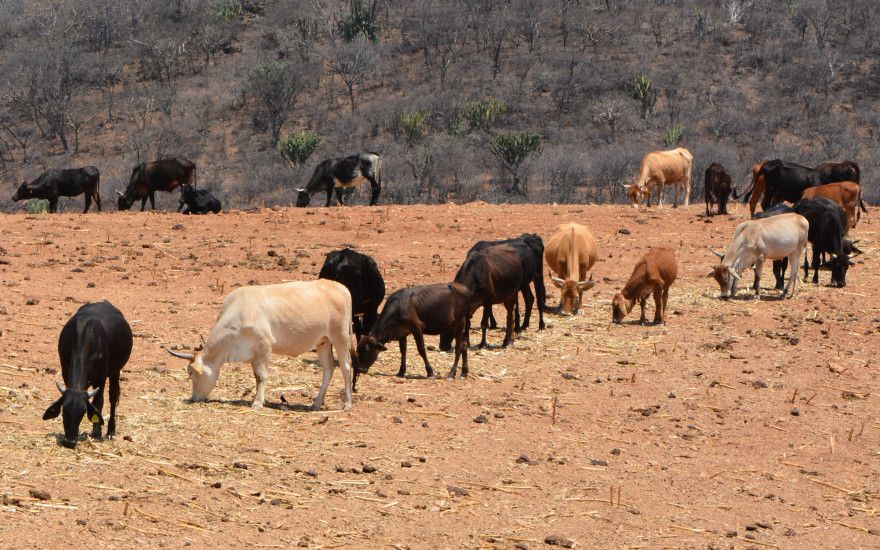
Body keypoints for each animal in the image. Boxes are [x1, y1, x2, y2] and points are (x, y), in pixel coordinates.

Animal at [42, 302, 132, 448]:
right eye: (64, 410)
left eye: (83, 412)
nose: (70, 442)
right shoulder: (66, 372)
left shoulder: (101, 377)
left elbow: (98, 402)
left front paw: (97, 432)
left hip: (115, 372)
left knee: (113, 398)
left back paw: (111, 431)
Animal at [167, 282, 356, 412]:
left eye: (191, 373)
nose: (194, 398)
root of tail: (340, 288)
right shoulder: (254, 353)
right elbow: (257, 377)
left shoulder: (265, 346)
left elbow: (262, 376)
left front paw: (258, 403)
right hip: (323, 341)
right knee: (328, 369)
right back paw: (316, 403)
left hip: (340, 337)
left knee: (346, 367)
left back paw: (347, 404)